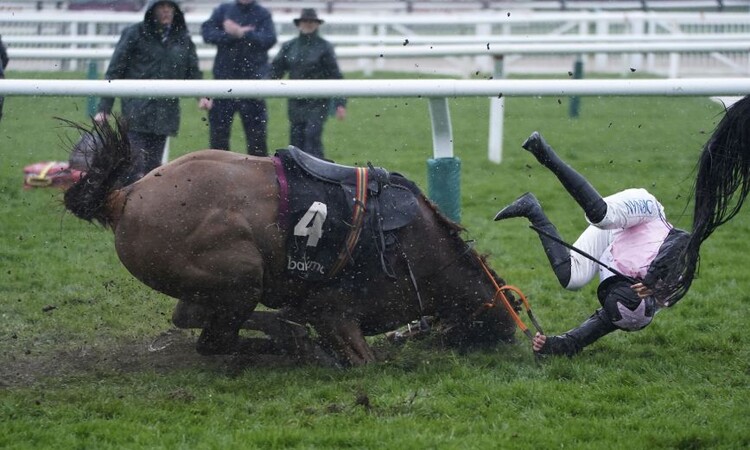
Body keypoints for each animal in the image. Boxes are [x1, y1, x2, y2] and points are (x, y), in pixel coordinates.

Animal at [64, 119, 520, 366]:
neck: (413, 246)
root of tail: (125, 195)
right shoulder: (335, 312)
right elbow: (363, 360)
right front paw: (311, 344)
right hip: (242, 273)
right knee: (214, 340)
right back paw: (294, 343)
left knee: (193, 319)